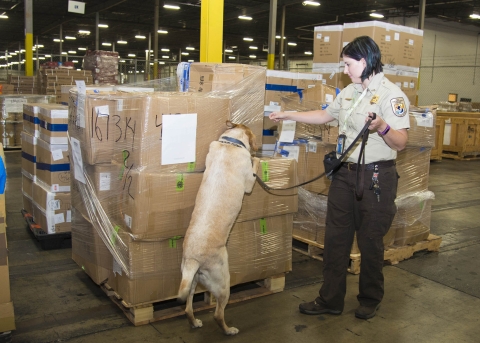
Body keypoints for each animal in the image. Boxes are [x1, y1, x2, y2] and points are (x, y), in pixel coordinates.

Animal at [178, 121, 258, 336]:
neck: (230, 144)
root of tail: (194, 259)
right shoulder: (249, 182)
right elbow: (254, 166)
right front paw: (257, 158)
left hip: (191, 280)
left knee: (188, 308)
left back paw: (194, 322)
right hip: (223, 283)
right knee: (217, 314)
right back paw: (229, 330)